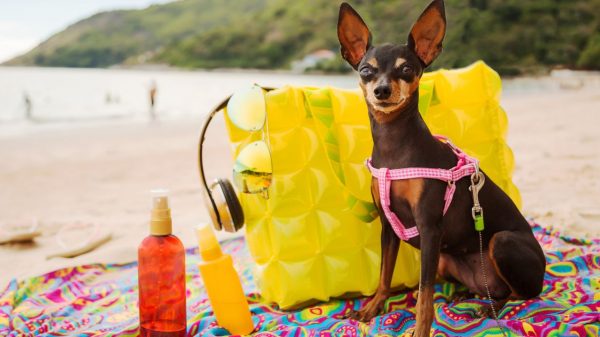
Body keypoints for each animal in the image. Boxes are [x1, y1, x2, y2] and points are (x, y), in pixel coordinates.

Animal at [338, 1, 548, 334]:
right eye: (366, 71)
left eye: (407, 69)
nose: (382, 90)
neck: (394, 144)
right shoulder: (388, 226)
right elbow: (385, 275)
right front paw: (373, 307)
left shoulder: (429, 228)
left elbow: (424, 296)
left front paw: (421, 329)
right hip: (446, 258)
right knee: (489, 288)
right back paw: (463, 295)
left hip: (500, 243)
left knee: (523, 294)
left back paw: (490, 307)